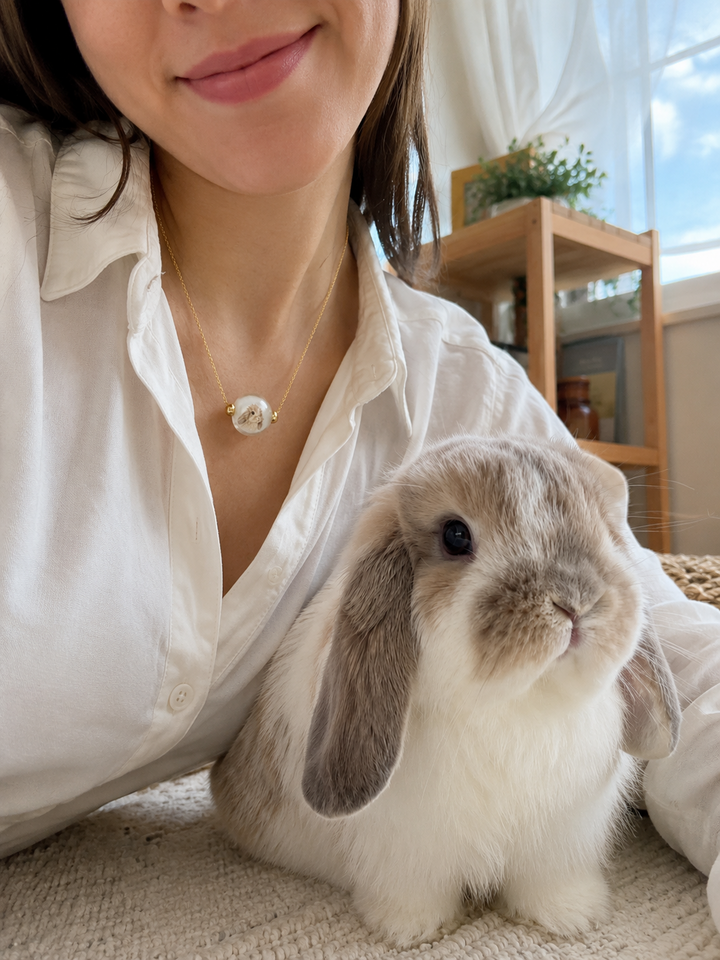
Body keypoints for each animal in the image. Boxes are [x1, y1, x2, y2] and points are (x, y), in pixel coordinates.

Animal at [211, 436, 681, 947]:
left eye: (604, 530)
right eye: (456, 536)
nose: (575, 602)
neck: (514, 705)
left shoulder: (556, 843)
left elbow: (547, 882)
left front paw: (571, 917)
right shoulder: (407, 851)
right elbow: (414, 892)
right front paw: (413, 929)